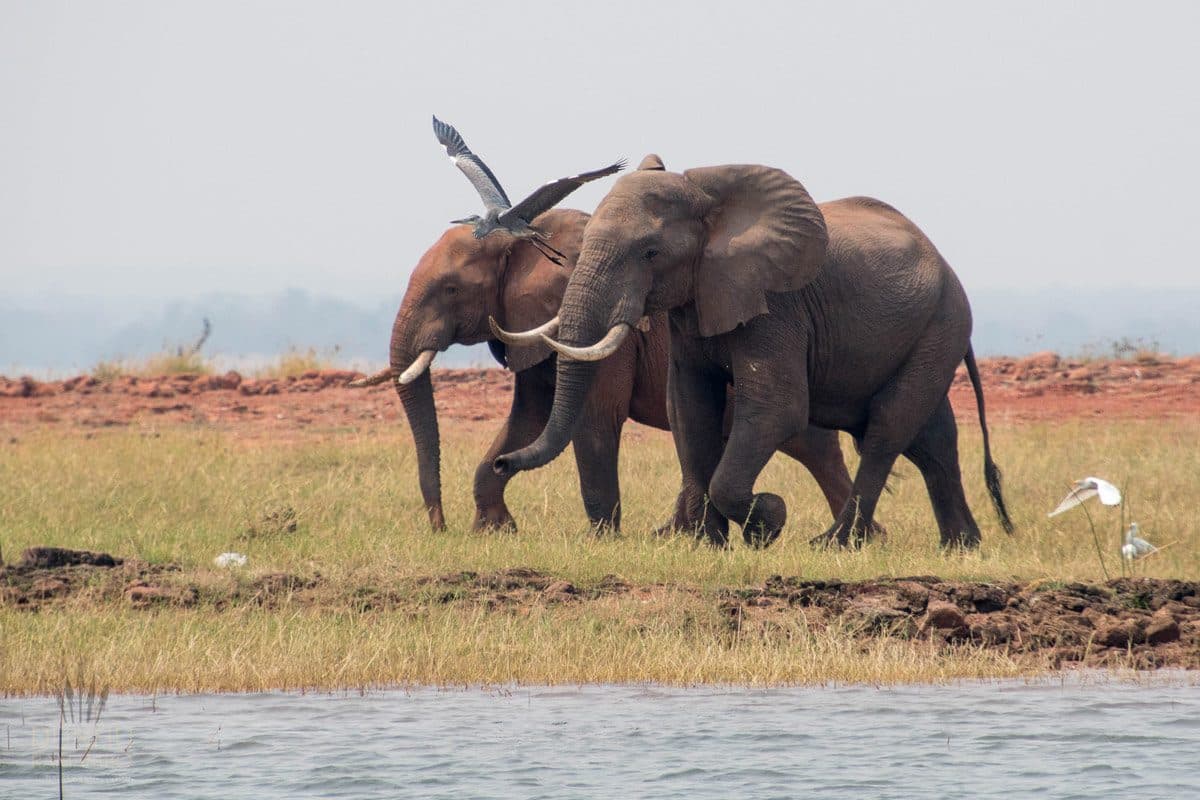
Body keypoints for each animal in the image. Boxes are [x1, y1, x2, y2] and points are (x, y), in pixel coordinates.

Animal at [367, 206, 874, 534]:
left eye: (451, 290)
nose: (439, 527)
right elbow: (527, 419)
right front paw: (494, 531)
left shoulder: (612, 336)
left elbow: (593, 419)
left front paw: (601, 541)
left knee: (806, 442)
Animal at [493, 155, 1013, 549]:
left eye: (650, 253)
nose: (502, 463)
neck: (708, 199)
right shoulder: (694, 303)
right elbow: (689, 407)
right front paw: (709, 544)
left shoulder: (776, 303)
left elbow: (775, 408)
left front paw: (769, 520)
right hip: (928, 332)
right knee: (932, 439)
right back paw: (962, 546)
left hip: (941, 324)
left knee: (887, 430)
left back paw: (833, 544)